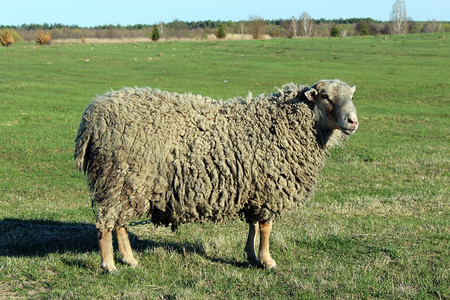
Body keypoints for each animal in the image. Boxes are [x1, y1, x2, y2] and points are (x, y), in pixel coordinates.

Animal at [75, 79, 360, 272]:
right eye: (325, 96)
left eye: (350, 96)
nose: (352, 121)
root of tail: (92, 117)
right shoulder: (268, 189)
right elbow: (266, 227)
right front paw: (267, 260)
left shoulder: (253, 188)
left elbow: (253, 225)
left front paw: (251, 256)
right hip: (117, 178)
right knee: (106, 223)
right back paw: (109, 265)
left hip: (126, 183)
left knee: (120, 222)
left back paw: (129, 259)